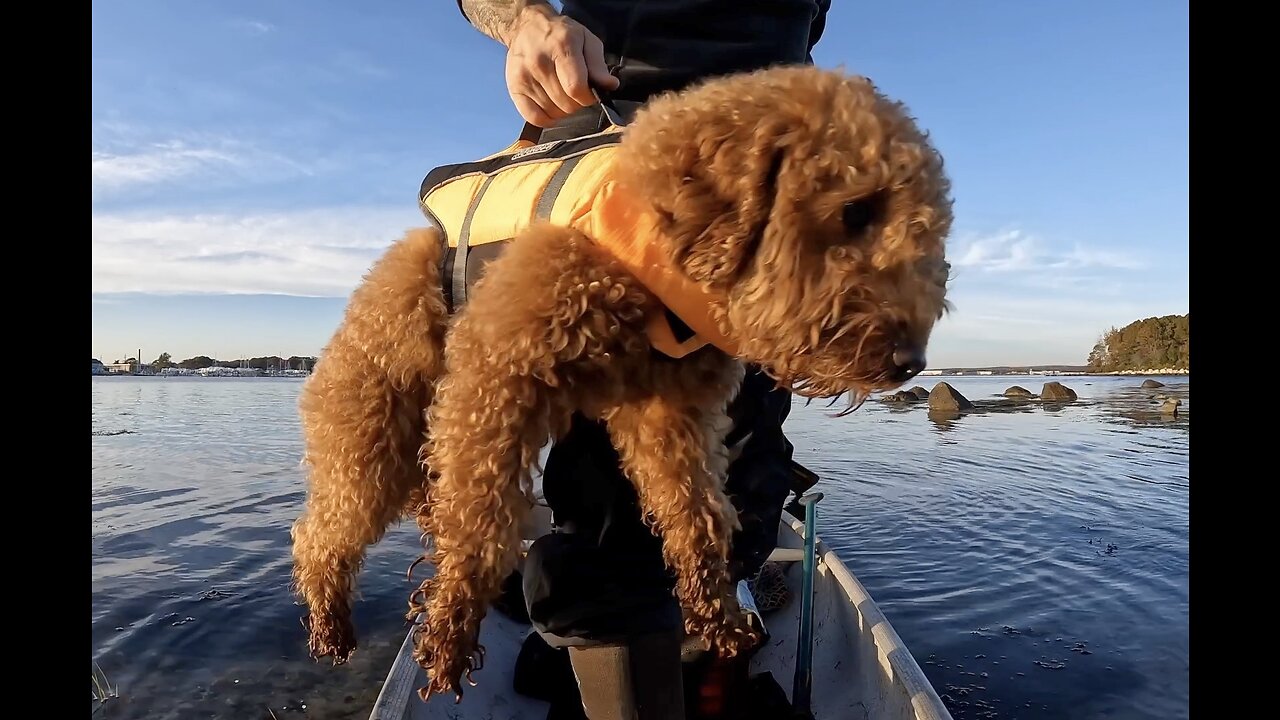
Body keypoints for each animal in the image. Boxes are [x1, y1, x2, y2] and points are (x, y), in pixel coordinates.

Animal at [288, 64, 952, 696]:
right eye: (856, 210)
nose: (910, 361)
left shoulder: (673, 415)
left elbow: (696, 519)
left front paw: (717, 618)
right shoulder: (495, 377)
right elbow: (479, 523)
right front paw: (449, 634)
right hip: (369, 431)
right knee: (320, 534)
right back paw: (330, 625)